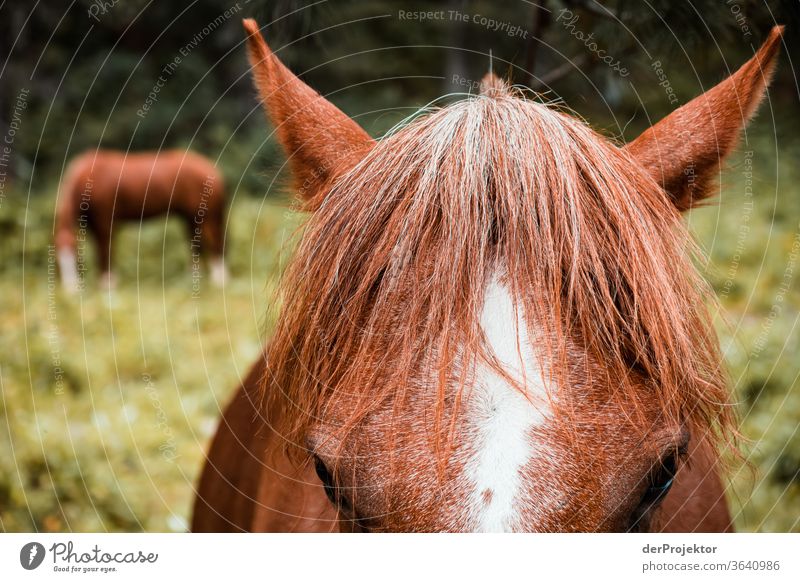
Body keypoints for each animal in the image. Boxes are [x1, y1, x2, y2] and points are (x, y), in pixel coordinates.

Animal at [54, 148, 227, 290]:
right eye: (58, 259)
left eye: (76, 257)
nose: (70, 291)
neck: (89, 177)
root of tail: (211, 168)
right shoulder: (91, 226)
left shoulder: (105, 222)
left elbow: (105, 250)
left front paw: (108, 285)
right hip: (191, 218)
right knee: (197, 245)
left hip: (207, 217)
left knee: (216, 242)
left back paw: (220, 282)